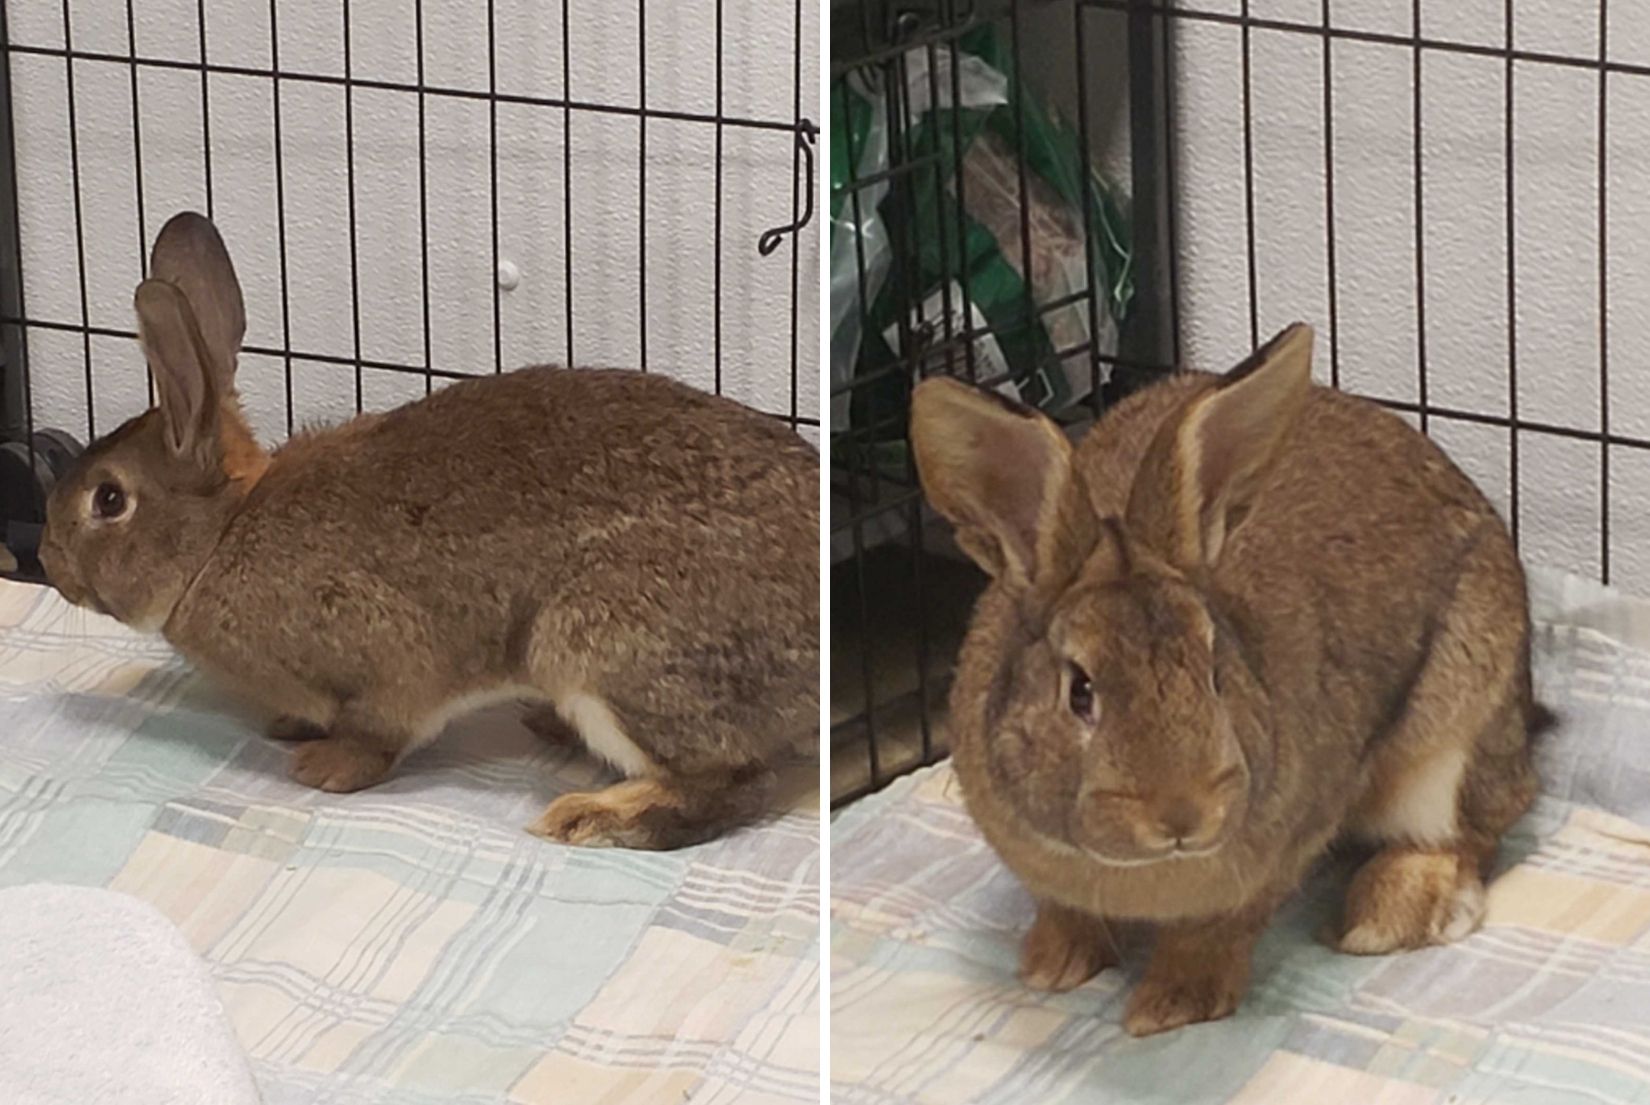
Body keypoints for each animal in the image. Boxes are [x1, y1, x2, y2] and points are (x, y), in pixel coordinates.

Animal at [45, 210, 825, 851]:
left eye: (109, 499)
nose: (48, 560)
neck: (222, 537)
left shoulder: (384, 656)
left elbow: (383, 730)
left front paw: (321, 767)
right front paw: (291, 727)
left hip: (597, 646)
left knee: (735, 784)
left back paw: (591, 816)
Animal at [910, 319, 1537, 1042]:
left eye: (1215, 673)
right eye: (1079, 691)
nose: (1183, 814)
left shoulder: (1288, 844)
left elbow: (1216, 931)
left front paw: (1170, 1004)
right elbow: (1065, 909)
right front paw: (1052, 965)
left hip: (1452, 735)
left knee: (1470, 827)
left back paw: (1387, 914)